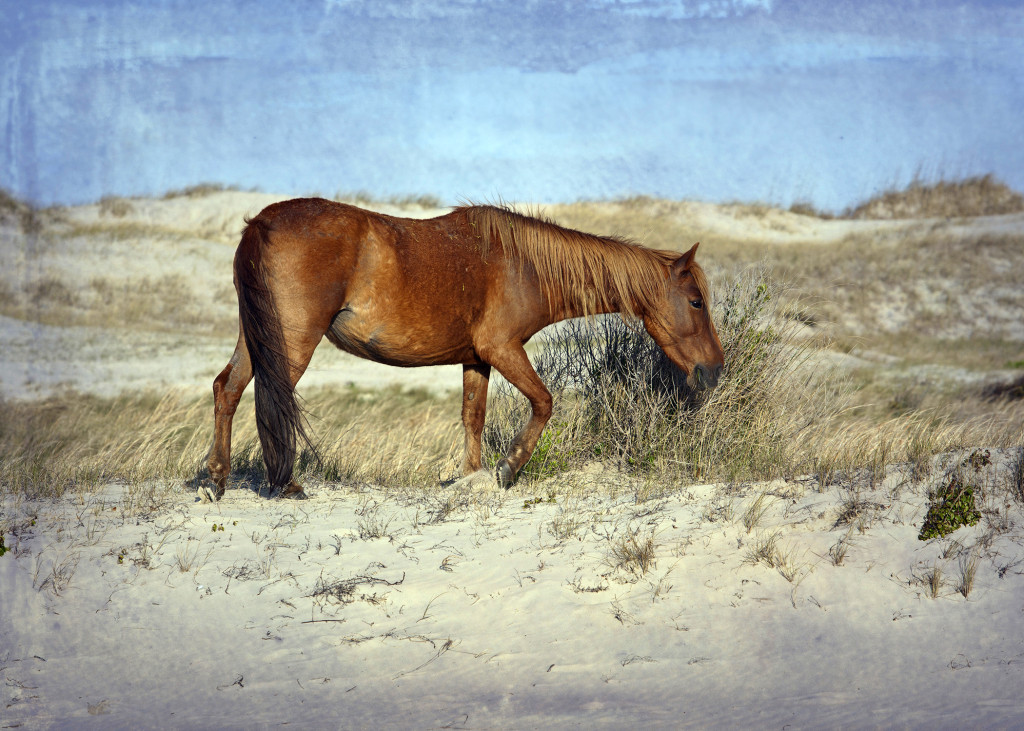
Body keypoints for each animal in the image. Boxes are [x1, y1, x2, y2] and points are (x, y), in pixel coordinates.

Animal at [199, 196, 724, 497]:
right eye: (696, 301)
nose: (714, 370)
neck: (523, 265)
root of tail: (260, 223)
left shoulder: (477, 360)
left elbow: (473, 418)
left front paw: (471, 478)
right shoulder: (502, 350)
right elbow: (544, 402)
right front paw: (507, 469)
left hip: (257, 337)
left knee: (228, 388)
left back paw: (217, 480)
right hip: (291, 341)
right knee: (271, 397)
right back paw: (283, 482)